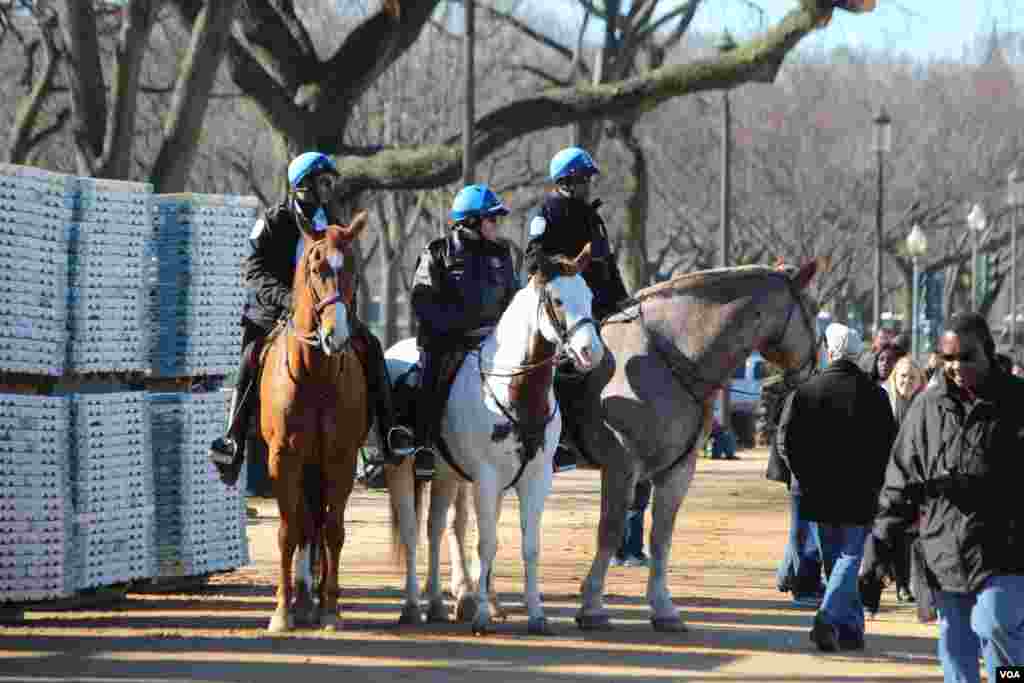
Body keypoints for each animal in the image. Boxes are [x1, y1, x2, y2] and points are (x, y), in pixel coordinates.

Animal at [260, 210, 368, 634]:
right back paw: (303, 599)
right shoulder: (284, 457)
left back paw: (316, 599)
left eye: (353, 268)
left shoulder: (340, 458)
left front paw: (331, 609)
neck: (315, 376)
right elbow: (289, 531)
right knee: (306, 525)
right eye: (315, 267)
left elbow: (334, 530)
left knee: (319, 525)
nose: (335, 336)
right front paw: (282, 610)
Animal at [387, 245, 602, 634]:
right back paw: (412, 606)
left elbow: (528, 546)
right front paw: (483, 616)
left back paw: (438, 603)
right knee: (412, 532)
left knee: (436, 528)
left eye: (590, 296)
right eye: (558, 300)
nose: (591, 352)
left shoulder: (535, 480)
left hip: (446, 474)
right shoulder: (486, 480)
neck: (514, 390)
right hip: (401, 468)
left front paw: (536, 615)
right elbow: (486, 543)